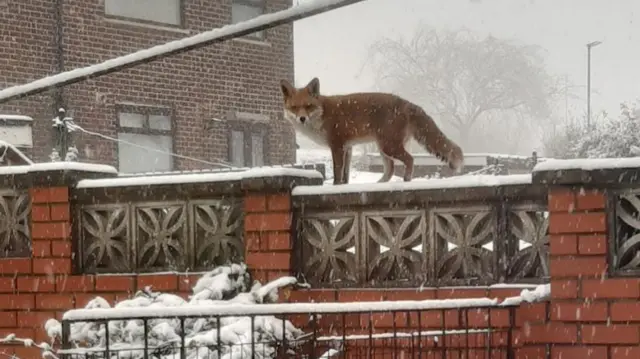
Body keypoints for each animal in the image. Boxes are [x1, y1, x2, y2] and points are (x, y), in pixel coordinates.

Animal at [278, 78, 460, 186]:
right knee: (390, 170)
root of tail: (407, 103)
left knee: (409, 160)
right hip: (384, 149)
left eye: (308, 106)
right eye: (294, 108)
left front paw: (336, 187)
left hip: (388, 146)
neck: (322, 114)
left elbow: (337, 173)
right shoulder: (348, 148)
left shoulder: (337, 146)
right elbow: (345, 176)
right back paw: (379, 184)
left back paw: (406, 181)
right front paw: (344, 187)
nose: (302, 118)